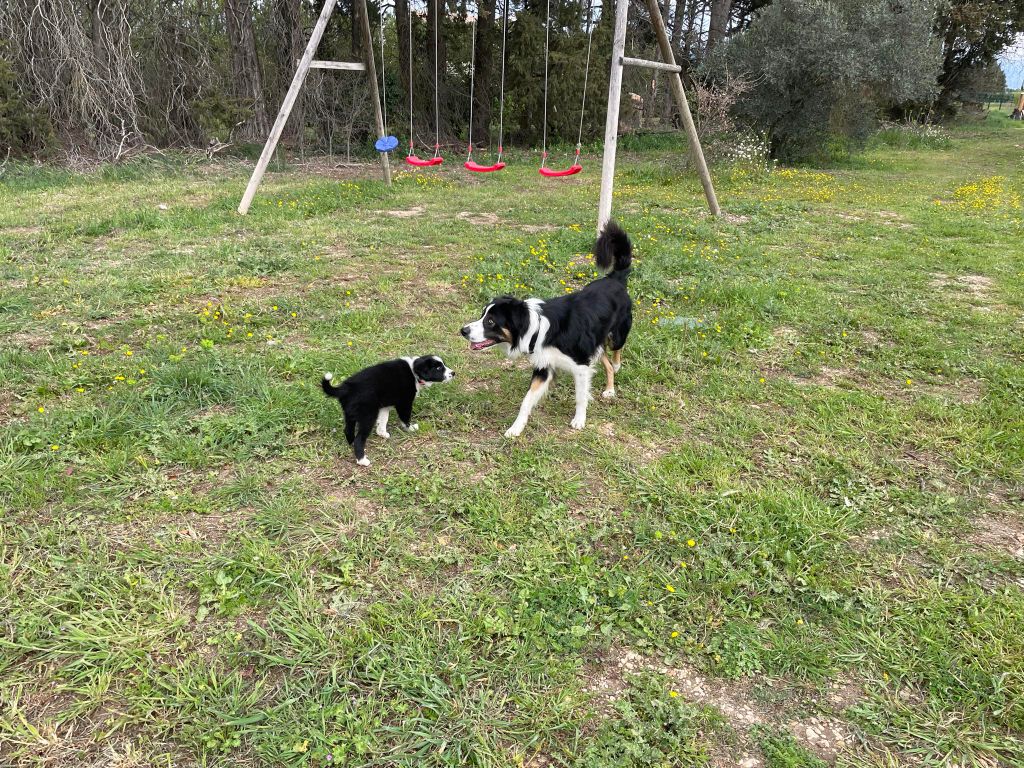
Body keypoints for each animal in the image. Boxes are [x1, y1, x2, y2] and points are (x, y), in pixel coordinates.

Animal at [317, 356, 450, 468]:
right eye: (438, 368)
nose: (453, 373)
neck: (414, 371)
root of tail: (346, 388)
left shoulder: (384, 407)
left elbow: (383, 420)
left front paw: (382, 433)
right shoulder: (404, 402)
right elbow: (405, 417)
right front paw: (410, 428)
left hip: (349, 413)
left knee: (348, 430)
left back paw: (350, 443)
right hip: (368, 416)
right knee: (359, 439)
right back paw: (362, 460)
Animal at [458, 222, 630, 438]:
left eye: (490, 321)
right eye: (482, 315)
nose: (463, 330)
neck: (537, 330)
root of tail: (615, 278)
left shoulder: (581, 365)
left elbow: (581, 396)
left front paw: (579, 420)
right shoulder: (544, 367)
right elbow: (526, 401)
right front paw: (516, 428)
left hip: (616, 335)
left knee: (615, 353)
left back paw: (616, 369)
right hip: (594, 346)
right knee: (605, 362)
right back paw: (609, 389)